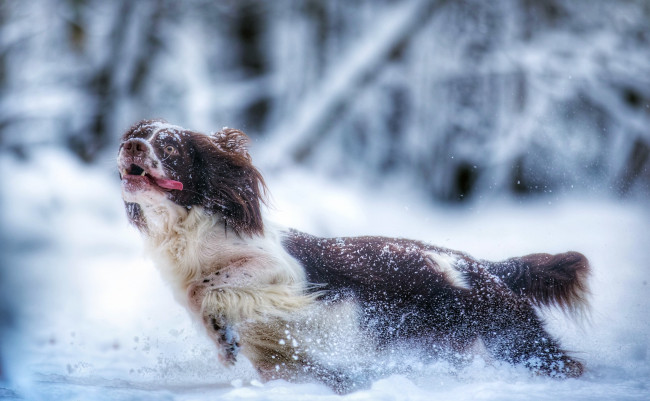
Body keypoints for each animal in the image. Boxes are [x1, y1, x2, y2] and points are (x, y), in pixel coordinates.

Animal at [116, 118, 588, 390]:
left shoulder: (278, 271)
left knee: (561, 363)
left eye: (170, 146)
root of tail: (480, 265)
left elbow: (210, 288)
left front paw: (223, 338)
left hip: (510, 335)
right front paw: (225, 342)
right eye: (133, 136)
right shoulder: (276, 356)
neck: (192, 231)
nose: (132, 147)